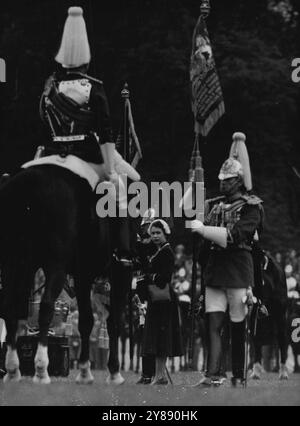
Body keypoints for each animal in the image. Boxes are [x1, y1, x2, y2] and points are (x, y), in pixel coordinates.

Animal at [0, 165, 106, 384]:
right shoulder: (85, 273)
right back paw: (41, 370)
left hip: (12, 262)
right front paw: (86, 372)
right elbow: (88, 320)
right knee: (46, 307)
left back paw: (13, 370)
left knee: (9, 308)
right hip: (55, 267)